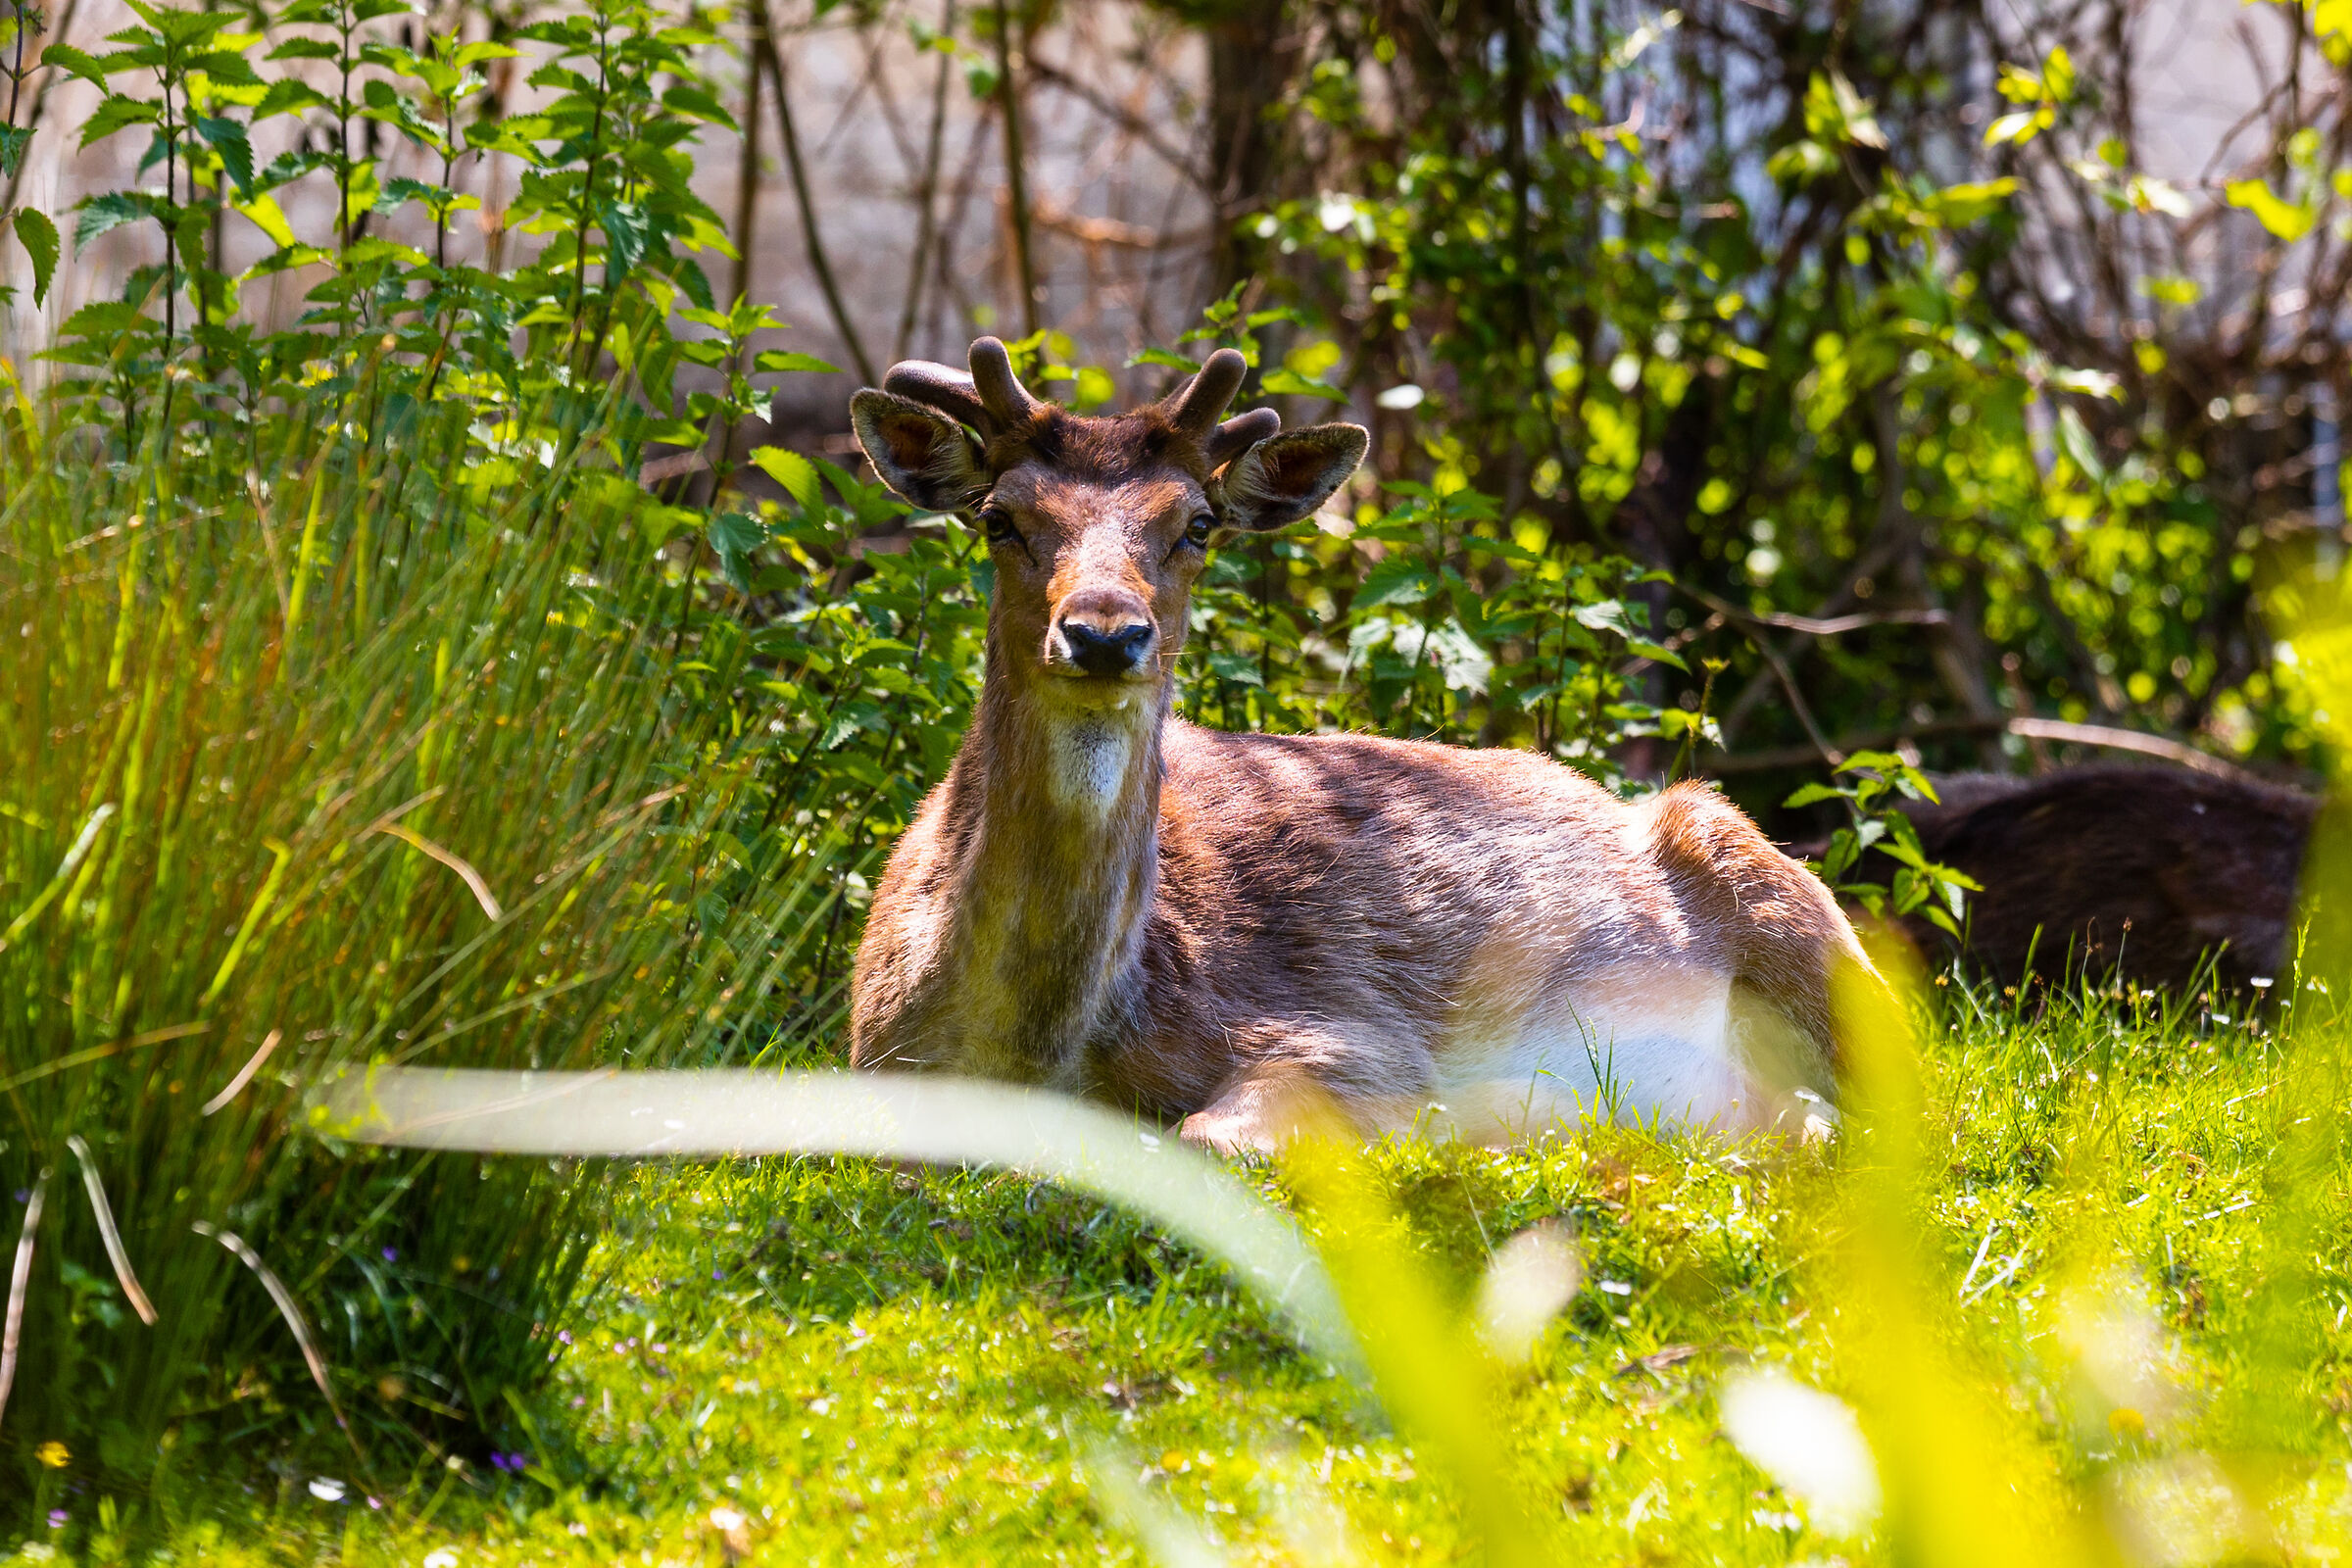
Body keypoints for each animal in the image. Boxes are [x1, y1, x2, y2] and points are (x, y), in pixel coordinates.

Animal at [844, 338, 1885, 1153]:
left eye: (1197, 523)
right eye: (999, 517)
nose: (1105, 633)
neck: (1033, 1049)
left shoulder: (1350, 1033)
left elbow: (1209, 1134)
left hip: (1788, 901)